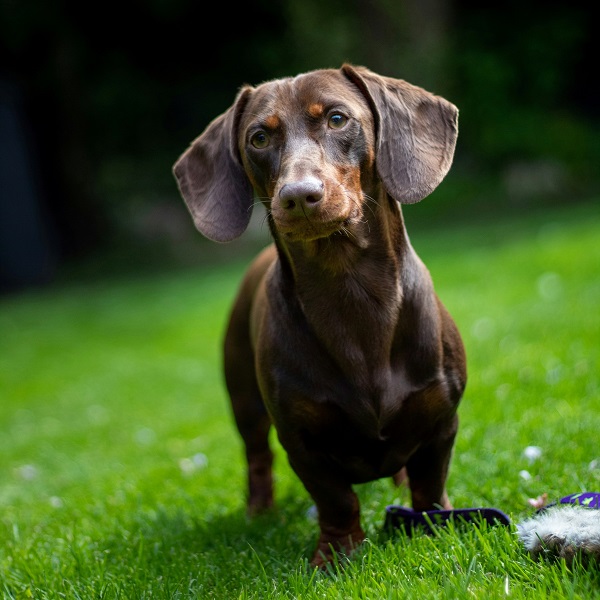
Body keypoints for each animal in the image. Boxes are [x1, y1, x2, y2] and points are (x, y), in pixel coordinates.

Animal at [171, 65, 466, 568]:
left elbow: (429, 484)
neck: (351, 293)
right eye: (258, 138)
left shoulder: (442, 419)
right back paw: (259, 513)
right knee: (257, 458)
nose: (297, 196)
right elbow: (336, 498)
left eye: (336, 118)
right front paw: (337, 553)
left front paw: (431, 527)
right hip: (243, 401)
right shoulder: (300, 440)